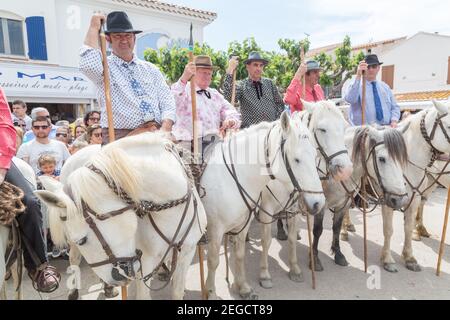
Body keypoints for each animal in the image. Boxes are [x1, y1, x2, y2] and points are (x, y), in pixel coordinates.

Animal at [36, 134, 207, 298]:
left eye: (83, 240)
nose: (118, 277)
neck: (171, 211)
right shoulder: (145, 262)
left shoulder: (187, 253)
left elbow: (177, 291)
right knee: (74, 258)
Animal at [202, 111, 326, 298]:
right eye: (296, 159)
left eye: (314, 154)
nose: (318, 203)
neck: (230, 179)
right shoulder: (216, 228)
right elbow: (213, 260)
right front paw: (211, 293)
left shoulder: (243, 224)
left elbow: (240, 253)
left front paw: (243, 287)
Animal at [258, 99, 354, 288]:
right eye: (322, 129)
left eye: (344, 127)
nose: (345, 170)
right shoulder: (268, 206)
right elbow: (317, 230)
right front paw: (314, 261)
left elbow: (333, 227)